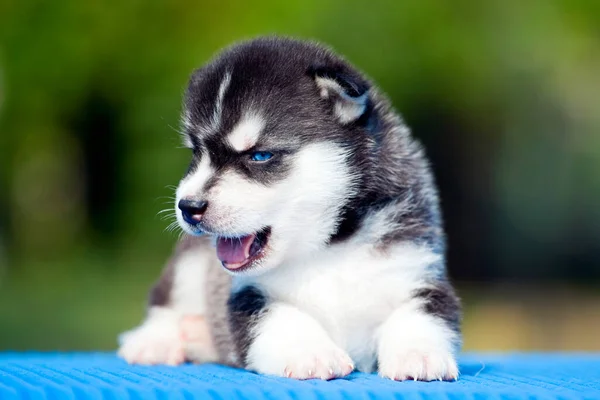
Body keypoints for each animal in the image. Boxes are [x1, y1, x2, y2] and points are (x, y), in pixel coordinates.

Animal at [118, 37, 464, 382]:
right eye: (196, 153)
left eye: (260, 155)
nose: (189, 206)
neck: (329, 246)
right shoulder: (248, 294)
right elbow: (279, 316)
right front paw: (311, 352)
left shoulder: (416, 267)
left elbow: (423, 313)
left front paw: (418, 353)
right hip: (191, 261)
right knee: (166, 300)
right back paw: (156, 341)